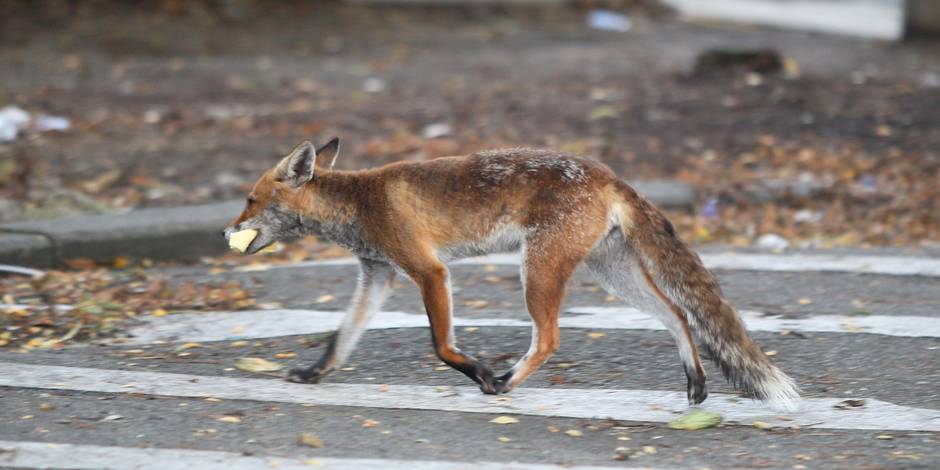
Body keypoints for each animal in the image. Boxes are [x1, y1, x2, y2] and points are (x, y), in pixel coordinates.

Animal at [224, 139, 796, 408]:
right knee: (678, 314)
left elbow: (441, 345)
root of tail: (609, 174)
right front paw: (314, 374)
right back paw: (695, 382)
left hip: (537, 271)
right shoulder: (378, 274)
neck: (358, 205)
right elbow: (341, 338)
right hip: (610, 274)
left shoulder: (428, 270)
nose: (227, 230)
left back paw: (504, 381)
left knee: (549, 339)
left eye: (250, 199)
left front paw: (478, 371)